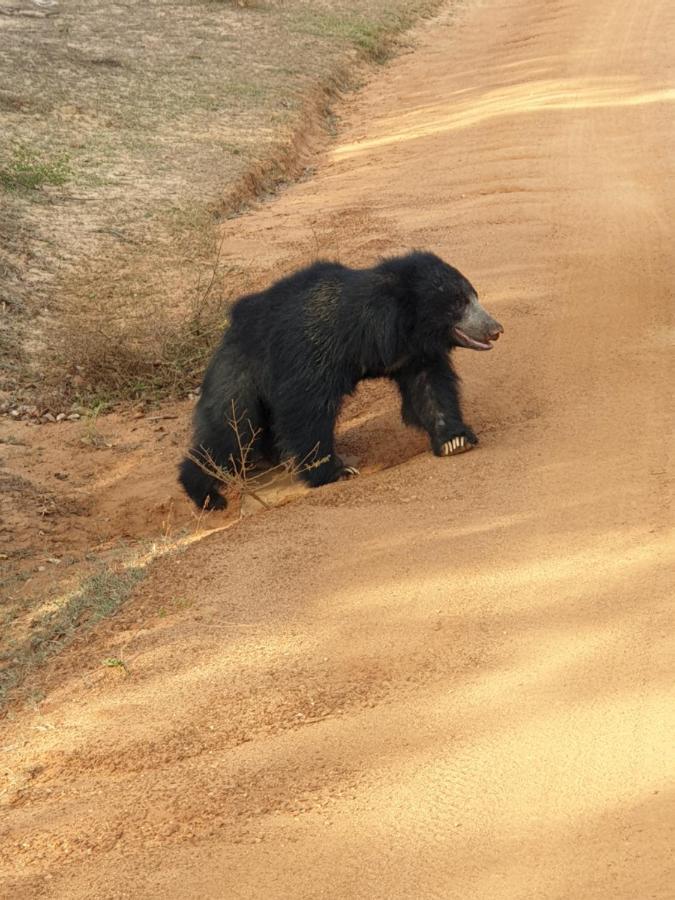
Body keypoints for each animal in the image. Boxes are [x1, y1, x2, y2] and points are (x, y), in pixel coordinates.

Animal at [180, 250, 502, 510]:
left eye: (473, 297)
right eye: (458, 303)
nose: (496, 329)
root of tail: (230, 328)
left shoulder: (413, 354)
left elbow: (429, 388)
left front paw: (455, 440)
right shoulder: (314, 350)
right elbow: (306, 408)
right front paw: (335, 471)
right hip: (241, 369)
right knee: (231, 426)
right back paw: (207, 494)